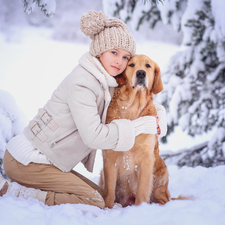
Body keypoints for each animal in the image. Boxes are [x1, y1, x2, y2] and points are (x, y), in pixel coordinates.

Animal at [99, 55, 171, 209]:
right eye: (131, 64)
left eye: (148, 66)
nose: (141, 73)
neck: (132, 107)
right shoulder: (110, 158)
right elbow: (109, 191)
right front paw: (108, 208)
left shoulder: (146, 159)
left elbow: (142, 191)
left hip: (161, 176)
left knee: (164, 199)